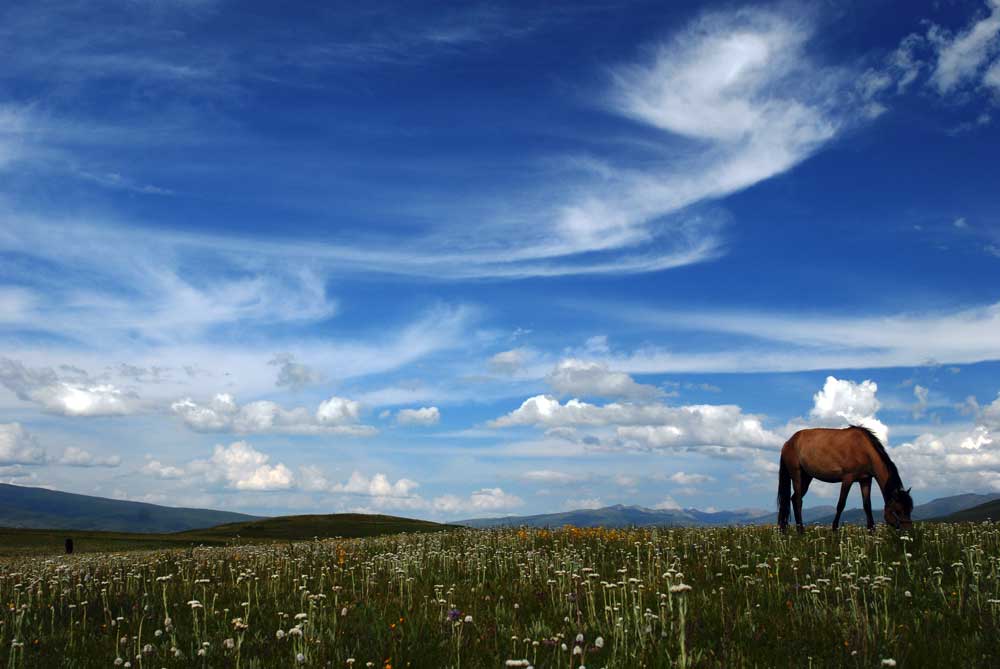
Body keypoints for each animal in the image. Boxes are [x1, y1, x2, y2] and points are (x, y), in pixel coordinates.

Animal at [780, 428, 916, 532]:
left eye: (910, 509)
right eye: (898, 511)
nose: (908, 531)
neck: (864, 450)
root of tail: (789, 442)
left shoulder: (866, 480)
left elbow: (867, 506)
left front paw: (871, 531)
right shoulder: (847, 479)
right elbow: (841, 504)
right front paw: (834, 530)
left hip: (807, 477)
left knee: (793, 499)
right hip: (797, 475)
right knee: (798, 501)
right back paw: (801, 532)